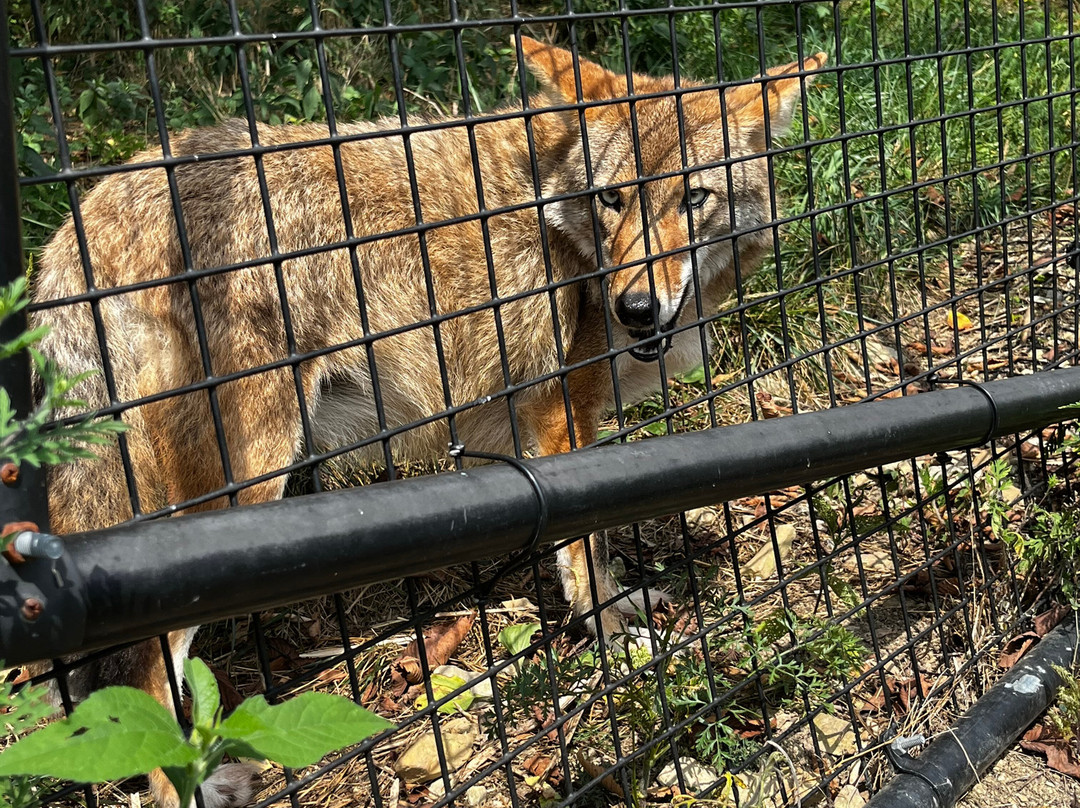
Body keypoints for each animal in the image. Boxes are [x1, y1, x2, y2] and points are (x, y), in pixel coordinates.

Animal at [31, 37, 825, 806]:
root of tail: (80, 225)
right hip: (233, 495)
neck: (561, 220)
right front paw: (607, 623)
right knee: (144, 670)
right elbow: (586, 551)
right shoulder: (563, 416)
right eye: (612, 199)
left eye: (694, 198)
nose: (634, 308)